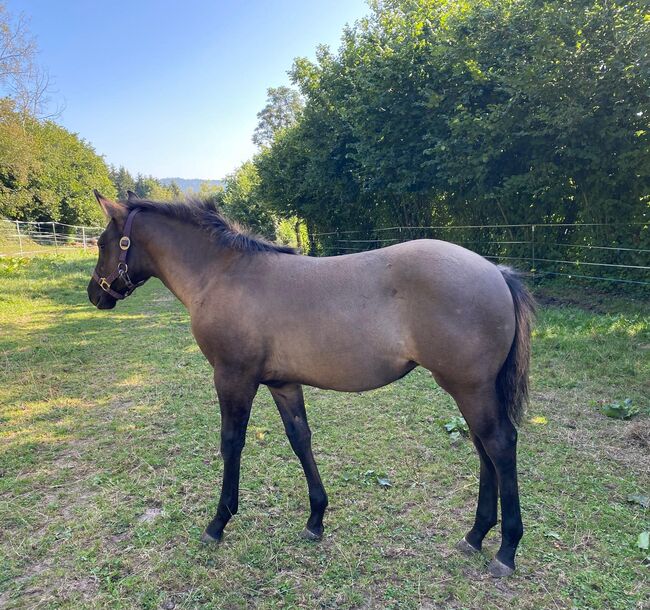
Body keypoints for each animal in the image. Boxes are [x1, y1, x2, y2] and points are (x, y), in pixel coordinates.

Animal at [86, 190, 532, 576]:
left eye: (104, 243)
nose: (95, 294)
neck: (222, 274)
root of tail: (496, 271)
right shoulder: (282, 383)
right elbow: (300, 438)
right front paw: (316, 518)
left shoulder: (233, 378)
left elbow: (231, 444)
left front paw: (218, 523)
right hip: (470, 389)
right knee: (484, 448)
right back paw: (475, 535)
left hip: (470, 387)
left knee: (499, 445)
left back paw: (506, 549)